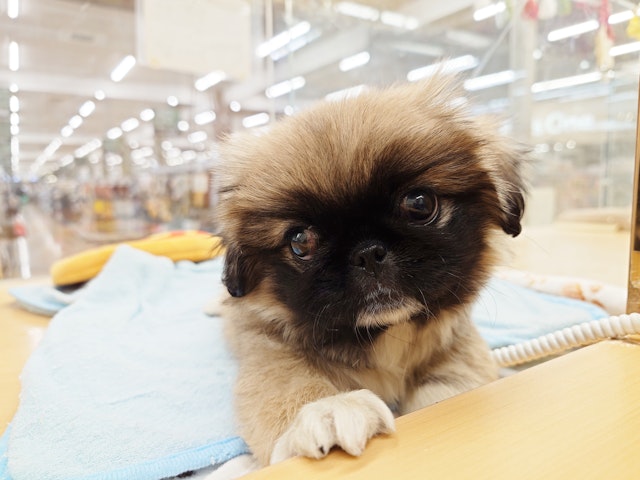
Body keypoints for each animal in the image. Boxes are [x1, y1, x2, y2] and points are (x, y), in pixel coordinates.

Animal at [215, 75, 524, 464]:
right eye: (300, 241)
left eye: (419, 204)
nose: (367, 254)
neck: (386, 331)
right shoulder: (269, 350)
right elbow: (288, 382)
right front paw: (328, 409)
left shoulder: (459, 346)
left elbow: (451, 388)